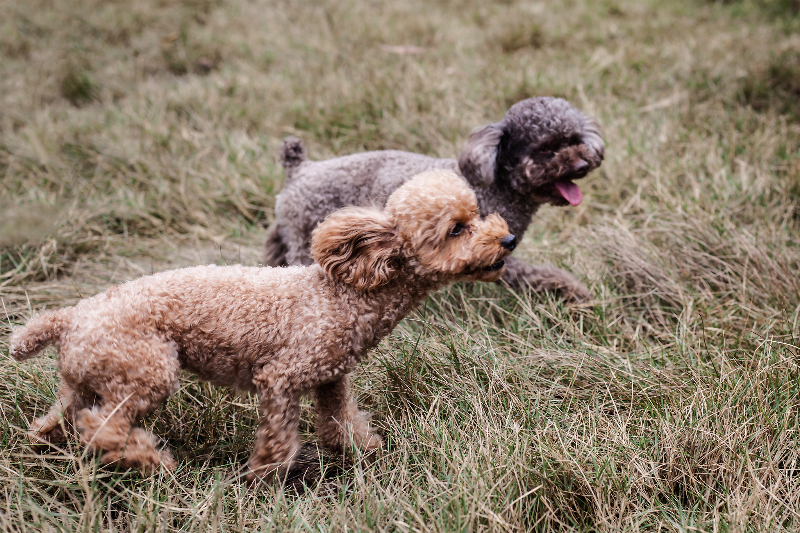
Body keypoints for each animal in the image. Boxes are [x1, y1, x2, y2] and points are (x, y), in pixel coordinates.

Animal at [266, 97, 604, 302]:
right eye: (545, 148)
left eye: (574, 139)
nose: (582, 165)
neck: (496, 184)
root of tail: (299, 167)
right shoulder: (486, 247)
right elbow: (534, 273)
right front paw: (575, 291)